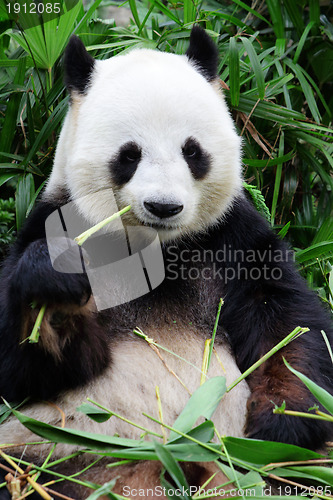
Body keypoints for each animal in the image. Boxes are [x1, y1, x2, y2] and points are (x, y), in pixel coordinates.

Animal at [0, 25, 330, 498]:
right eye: (129, 154)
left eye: (192, 151)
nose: (164, 206)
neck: (156, 247)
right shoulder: (55, 219)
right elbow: (24, 371)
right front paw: (56, 285)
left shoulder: (232, 237)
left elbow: (286, 326)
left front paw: (282, 424)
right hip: (60, 450)